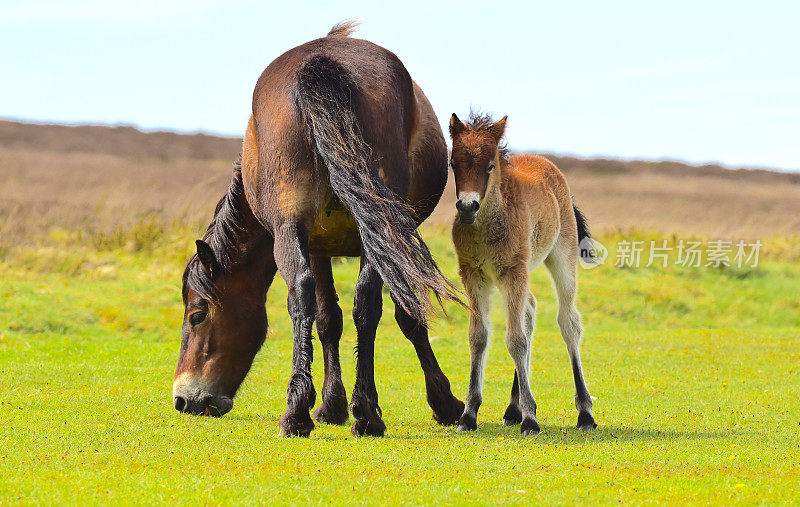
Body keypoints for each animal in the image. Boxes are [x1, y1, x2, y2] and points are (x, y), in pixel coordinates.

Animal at [172, 21, 466, 438]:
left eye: (197, 315)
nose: (183, 399)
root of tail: (320, 63)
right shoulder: (323, 245)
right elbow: (340, 319)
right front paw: (333, 405)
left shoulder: (316, 244)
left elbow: (354, 317)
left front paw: (444, 402)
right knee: (355, 303)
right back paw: (354, 411)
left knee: (319, 299)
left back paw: (314, 413)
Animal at [446, 113, 596, 434]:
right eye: (453, 164)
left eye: (490, 165)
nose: (467, 207)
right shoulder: (473, 275)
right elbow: (479, 336)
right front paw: (469, 414)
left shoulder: (513, 272)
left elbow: (515, 340)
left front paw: (531, 419)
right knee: (529, 312)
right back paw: (513, 409)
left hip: (561, 257)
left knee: (568, 322)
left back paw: (585, 413)